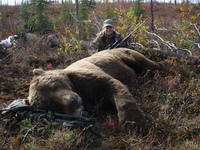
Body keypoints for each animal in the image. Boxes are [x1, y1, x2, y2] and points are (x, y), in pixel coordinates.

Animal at [27, 47, 162, 132]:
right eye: (52, 105)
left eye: (54, 85)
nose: (72, 101)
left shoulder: (86, 77)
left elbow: (114, 85)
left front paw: (134, 123)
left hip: (123, 54)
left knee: (146, 63)